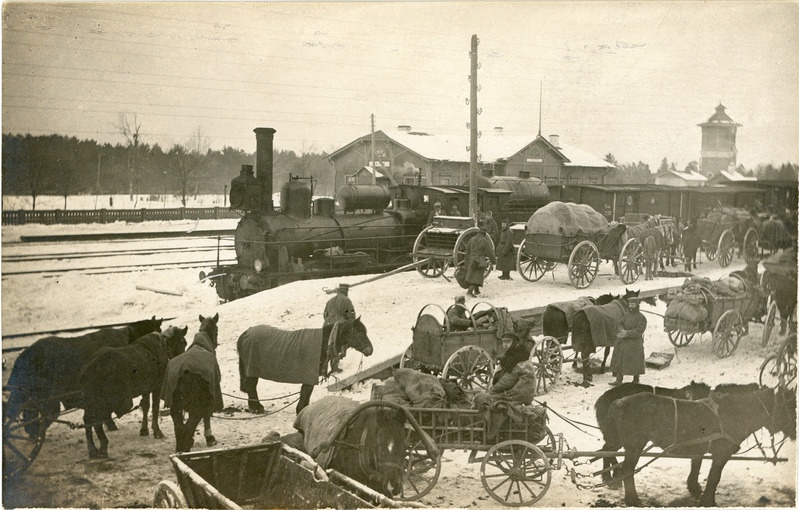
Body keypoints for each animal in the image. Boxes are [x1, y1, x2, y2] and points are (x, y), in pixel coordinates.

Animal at [79, 324, 189, 460]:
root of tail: (88, 369)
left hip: (91, 400)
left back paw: (93, 449)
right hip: (105, 400)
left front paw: (144, 430)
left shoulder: (146, 388)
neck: (164, 345)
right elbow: (155, 408)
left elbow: (146, 406)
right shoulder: (156, 387)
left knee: (88, 420)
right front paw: (157, 431)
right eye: (184, 342)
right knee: (95, 420)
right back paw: (102, 446)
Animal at [162, 314, 220, 454]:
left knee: (179, 427)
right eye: (216, 331)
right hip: (197, 404)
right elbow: (207, 416)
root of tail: (184, 371)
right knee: (188, 426)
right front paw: (209, 437)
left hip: (175, 405)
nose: (216, 344)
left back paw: (181, 448)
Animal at [239, 316, 374, 416]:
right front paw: (301, 411)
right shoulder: (309, 376)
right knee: (251, 387)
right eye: (359, 333)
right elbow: (306, 393)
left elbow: (306, 394)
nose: (370, 350)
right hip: (252, 370)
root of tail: (245, 334)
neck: (324, 343)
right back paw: (256, 408)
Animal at [604, 386, 796, 506]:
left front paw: (695, 489)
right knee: (628, 471)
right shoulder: (721, 453)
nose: (795, 432)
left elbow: (696, 467)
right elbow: (714, 477)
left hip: (621, 442)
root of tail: (619, 402)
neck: (736, 413)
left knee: (607, 450)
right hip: (634, 447)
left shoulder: (700, 449)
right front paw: (708, 501)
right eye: (790, 408)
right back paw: (632, 499)